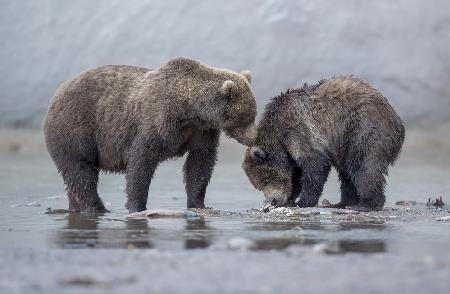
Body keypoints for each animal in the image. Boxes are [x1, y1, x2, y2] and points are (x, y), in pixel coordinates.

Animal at [46, 58, 258, 214]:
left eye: (253, 114)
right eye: (246, 117)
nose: (254, 137)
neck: (189, 110)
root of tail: (56, 95)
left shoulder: (201, 131)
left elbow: (200, 163)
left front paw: (199, 203)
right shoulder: (159, 121)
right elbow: (142, 160)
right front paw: (137, 205)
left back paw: (75, 207)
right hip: (76, 130)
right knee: (81, 171)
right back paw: (97, 207)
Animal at [244, 76, 406, 211]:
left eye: (265, 180)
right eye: (258, 185)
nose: (272, 200)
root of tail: (398, 120)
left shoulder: (299, 130)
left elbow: (315, 166)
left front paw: (301, 202)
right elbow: (295, 174)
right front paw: (289, 199)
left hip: (363, 130)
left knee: (365, 166)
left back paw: (366, 205)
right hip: (344, 144)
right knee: (347, 173)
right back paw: (341, 203)